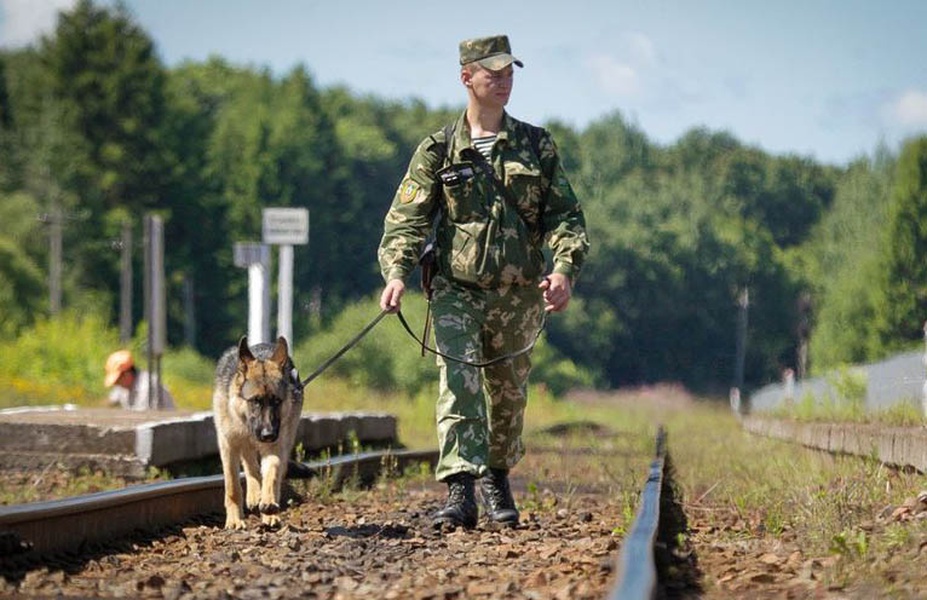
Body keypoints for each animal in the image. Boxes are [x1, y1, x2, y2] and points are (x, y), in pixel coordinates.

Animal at [214, 338, 304, 528]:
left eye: (277, 401)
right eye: (255, 400)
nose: (268, 435)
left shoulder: (275, 447)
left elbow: (271, 473)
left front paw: (268, 503)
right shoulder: (228, 445)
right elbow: (233, 486)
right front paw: (235, 520)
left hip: (285, 441)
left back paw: (269, 509)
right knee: (250, 466)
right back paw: (254, 495)